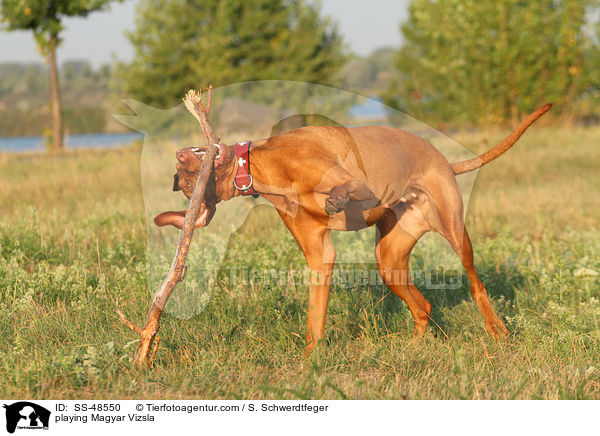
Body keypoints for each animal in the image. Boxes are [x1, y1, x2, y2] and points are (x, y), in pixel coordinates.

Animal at [156, 104, 552, 350]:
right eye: (188, 183)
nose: (178, 154)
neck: (265, 168)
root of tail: (445, 161)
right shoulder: (319, 256)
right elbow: (314, 320)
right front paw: (309, 363)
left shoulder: (357, 185)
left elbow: (344, 191)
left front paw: (337, 200)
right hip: (389, 260)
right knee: (423, 305)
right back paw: (414, 348)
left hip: (455, 231)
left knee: (476, 283)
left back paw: (497, 332)